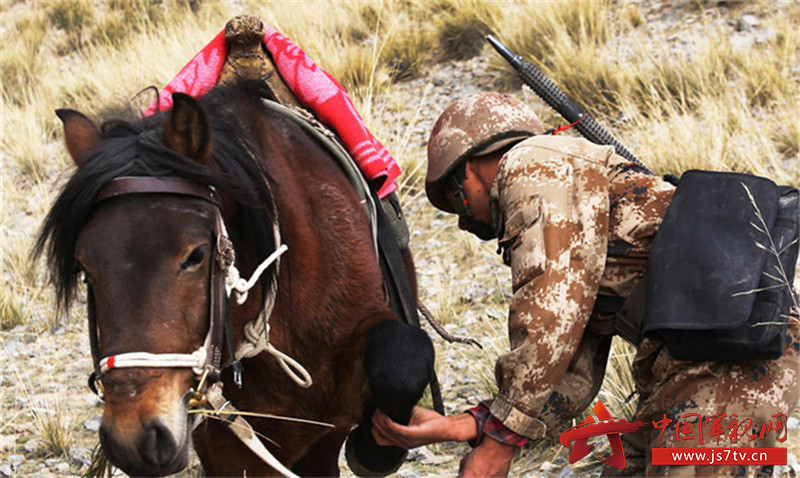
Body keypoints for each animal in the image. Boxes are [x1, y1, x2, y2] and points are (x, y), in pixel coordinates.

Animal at [36, 84, 434, 476]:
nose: (135, 438)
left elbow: (404, 357)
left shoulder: (338, 403)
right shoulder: (228, 443)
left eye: (195, 255)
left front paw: (376, 449)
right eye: (85, 269)